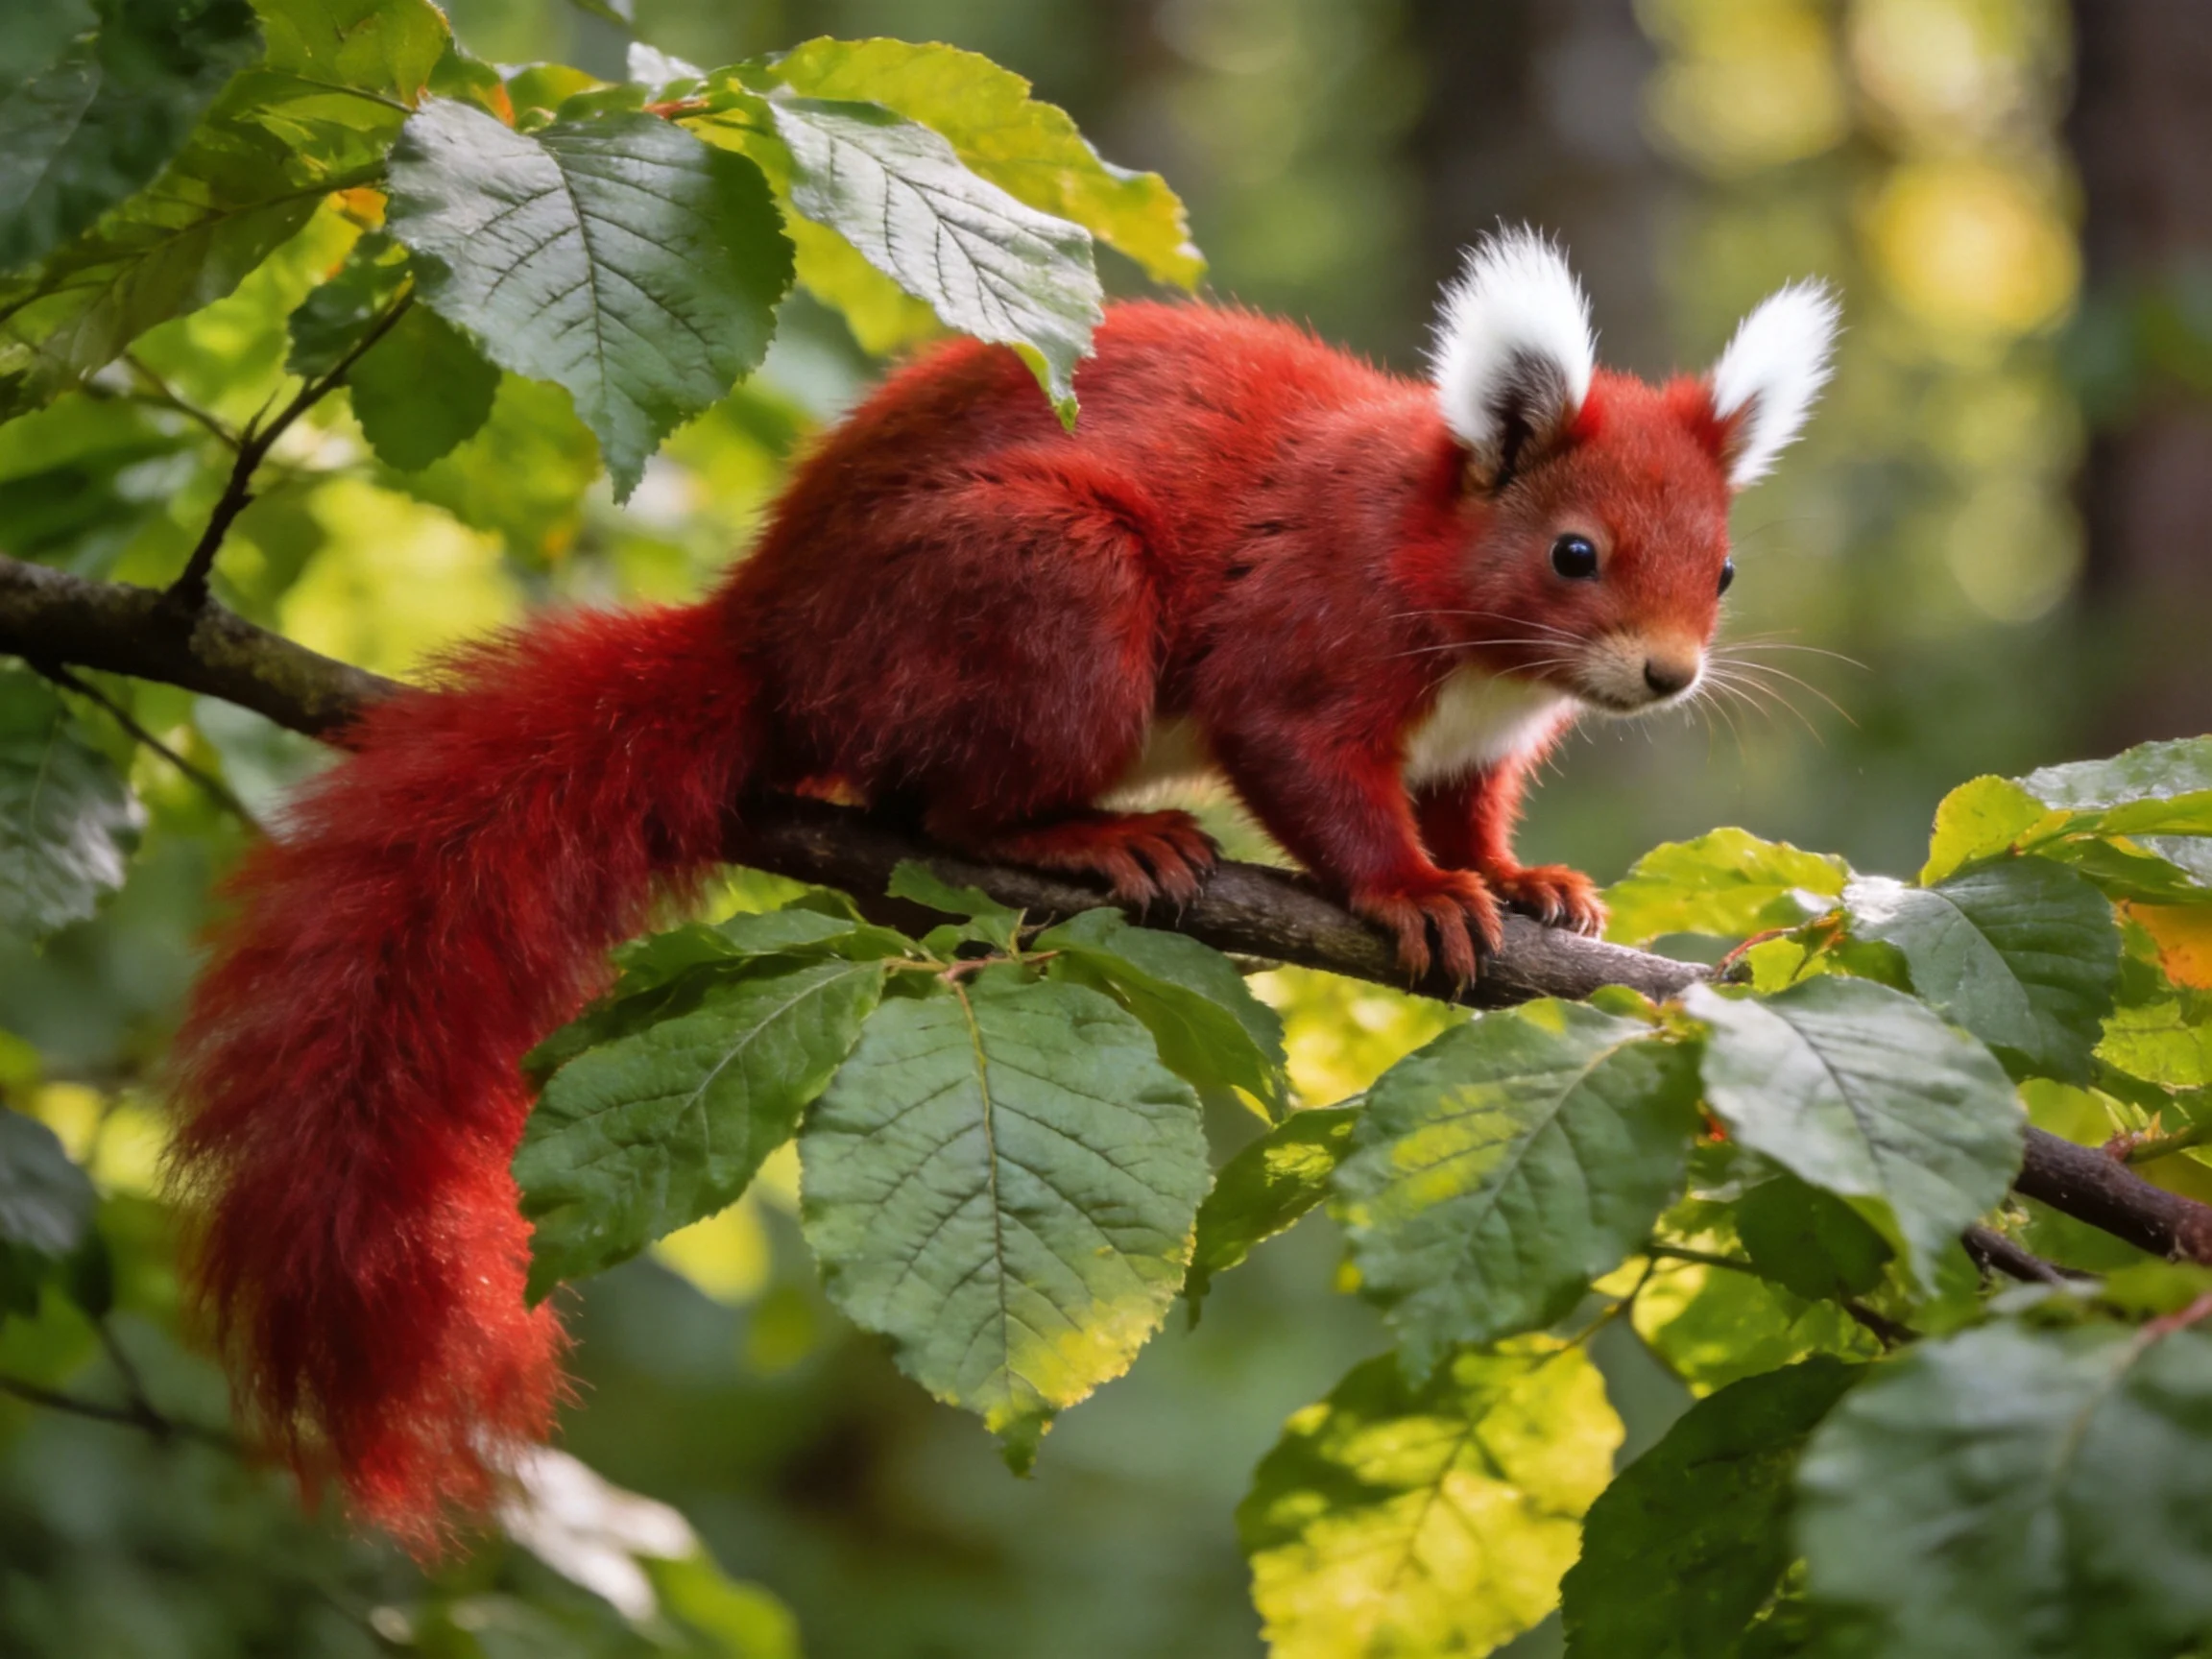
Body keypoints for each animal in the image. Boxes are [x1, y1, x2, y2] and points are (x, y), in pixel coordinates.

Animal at [168, 230, 1837, 1543]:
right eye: (1575, 552)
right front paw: (1415, 896)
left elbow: (1470, 808)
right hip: (1049, 583)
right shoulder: (1310, 637)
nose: (1669, 675)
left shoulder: (1477, 744)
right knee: (930, 799)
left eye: (1727, 568)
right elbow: (1310, 775)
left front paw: (1524, 878)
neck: (1451, 575)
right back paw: (1084, 838)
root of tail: (769, 639)